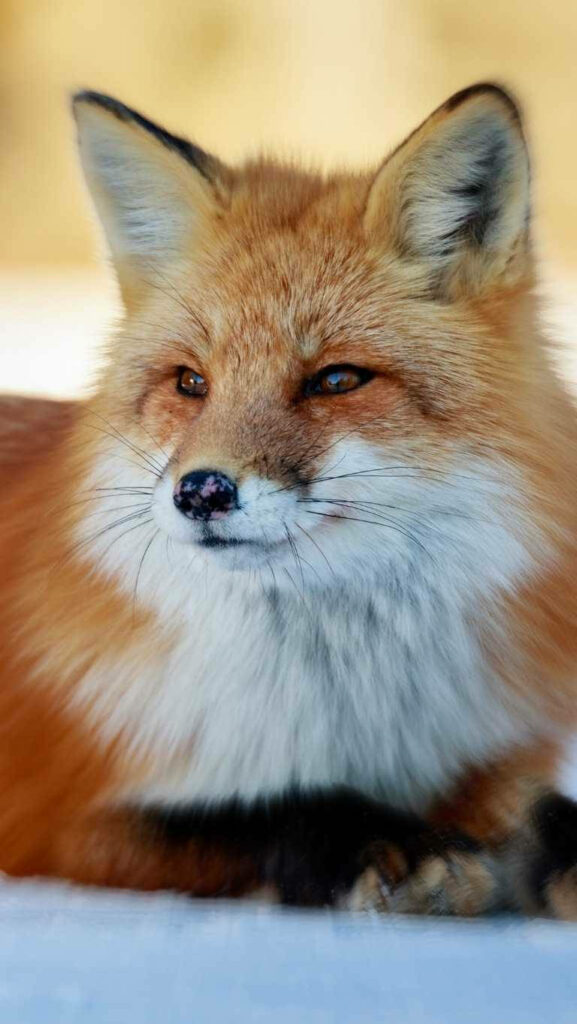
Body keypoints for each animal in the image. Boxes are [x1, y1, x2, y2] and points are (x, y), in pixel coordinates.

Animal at [1, 82, 577, 917]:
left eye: (335, 379)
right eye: (191, 382)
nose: (201, 491)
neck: (343, 709)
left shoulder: (486, 754)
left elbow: (541, 812)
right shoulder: (55, 820)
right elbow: (263, 812)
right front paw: (387, 841)